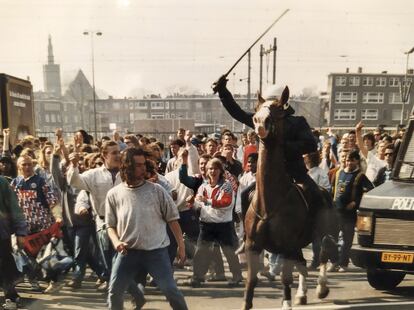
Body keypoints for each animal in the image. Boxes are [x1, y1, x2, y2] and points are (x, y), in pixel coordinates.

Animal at [243, 86, 336, 310]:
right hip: (297, 246)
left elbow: (286, 278)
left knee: (323, 256)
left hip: (322, 234)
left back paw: (321, 287)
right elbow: (251, 280)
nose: (260, 122)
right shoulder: (253, 246)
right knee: (302, 265)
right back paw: (302, 294)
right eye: (256, 110)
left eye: (278, 110)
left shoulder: (286, 246)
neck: (269, 204)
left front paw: (286, 303)